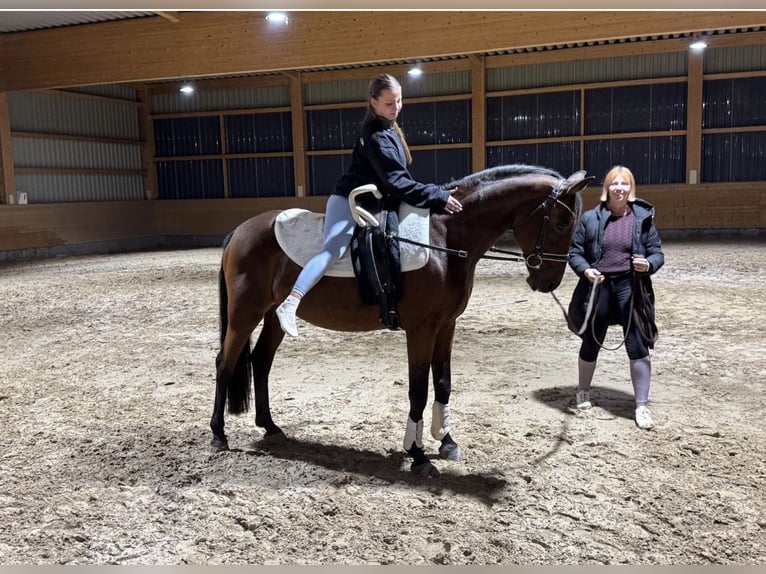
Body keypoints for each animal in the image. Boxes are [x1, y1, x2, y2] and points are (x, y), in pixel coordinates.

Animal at [210, 164, 593, 477]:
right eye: (561, 223)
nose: (547, 283)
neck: (446, 238)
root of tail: (239, 232)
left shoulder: (446, 326)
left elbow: (443, 383)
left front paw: (447, 442)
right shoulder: (421, 330)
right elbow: (418, 390)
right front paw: (418, 455)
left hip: (273, 316)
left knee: (260, 361)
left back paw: (270, 427)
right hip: (244, 315)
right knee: (226, 363)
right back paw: (218, 434)